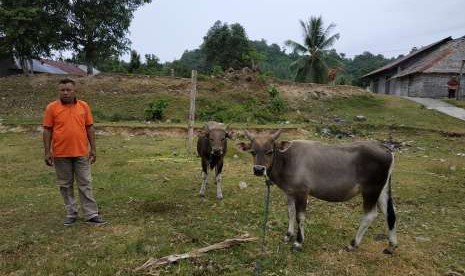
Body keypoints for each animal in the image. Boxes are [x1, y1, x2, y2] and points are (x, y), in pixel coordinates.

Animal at [239, 129, 396, 254]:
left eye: (270, 151)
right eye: (252, 152)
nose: (258, 170)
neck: (287, 159)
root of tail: (384, 148)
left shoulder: (302, 192)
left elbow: (300, 216)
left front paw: (298, 242)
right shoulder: (289, 192)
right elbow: (290, 212)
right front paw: (288, 234)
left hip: (371, 189)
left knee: (370, 215)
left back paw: (353, 244)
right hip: (382, 190)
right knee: (390, 212)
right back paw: (391, 246)